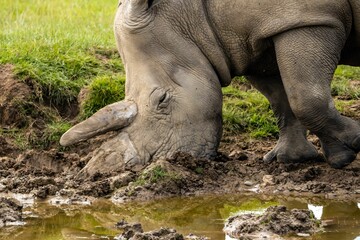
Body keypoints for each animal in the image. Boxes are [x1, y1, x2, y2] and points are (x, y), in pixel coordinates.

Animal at [60, 0, 360, 173]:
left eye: (162, 100)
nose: (95, 174)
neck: (191, 15)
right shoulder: (255, 40)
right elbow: (283, 99)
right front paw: (293, 159)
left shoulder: (310, 18)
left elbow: (306, 97)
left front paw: (351, 147)